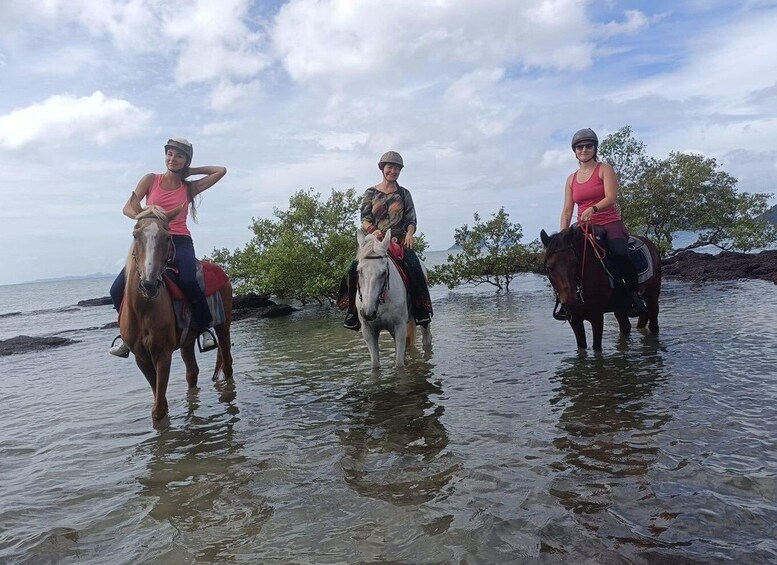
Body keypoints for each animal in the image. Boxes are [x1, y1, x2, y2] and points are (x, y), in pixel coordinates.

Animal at [119, 206, 232, 418]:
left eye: (167, 237)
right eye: (135, 235)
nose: (149, 284)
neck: (143, 311)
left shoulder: (163, 356)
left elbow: (158, 411)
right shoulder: (141, 358)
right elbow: (160, 402)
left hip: (223, 326)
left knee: (227, 363)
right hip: (187, 342)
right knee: (192, 373)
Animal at [356, 227, 430, 368]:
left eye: (384, 272)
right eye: (358, 271)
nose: (368, 312)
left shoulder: (399, 327)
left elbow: (399, 364)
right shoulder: (368, 330)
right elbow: (375, 365)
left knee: (426, 338)